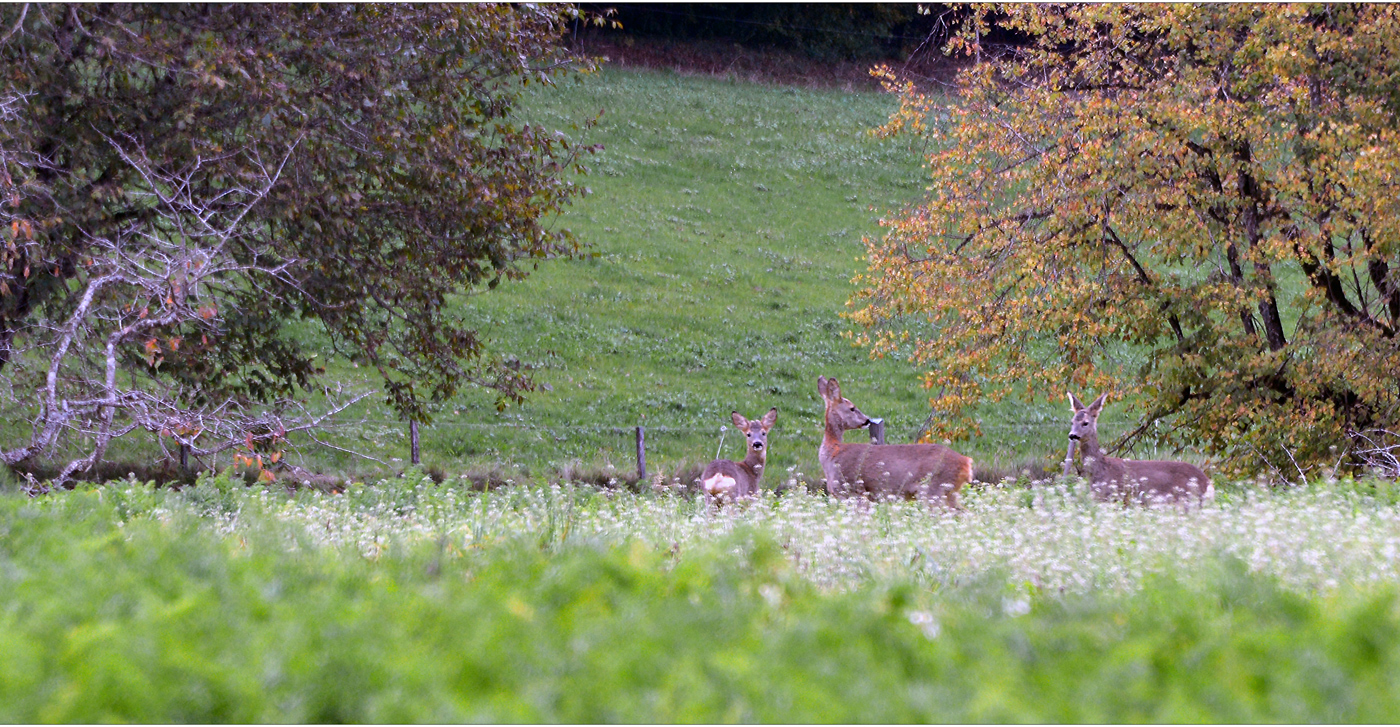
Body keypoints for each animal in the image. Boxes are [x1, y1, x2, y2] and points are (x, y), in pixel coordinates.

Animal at [812, 378, 974, 509]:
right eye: (852, 408)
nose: (867, 420)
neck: (832, 452)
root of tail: (967, 462)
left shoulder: (855, 491)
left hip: (935, 491)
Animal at [1069, 392, 1215, 507]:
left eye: (1085, 423)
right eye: (1072, 421)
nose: (1072, 435)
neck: (1101, 469)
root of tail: (1208, 484)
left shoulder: (1117, 499)